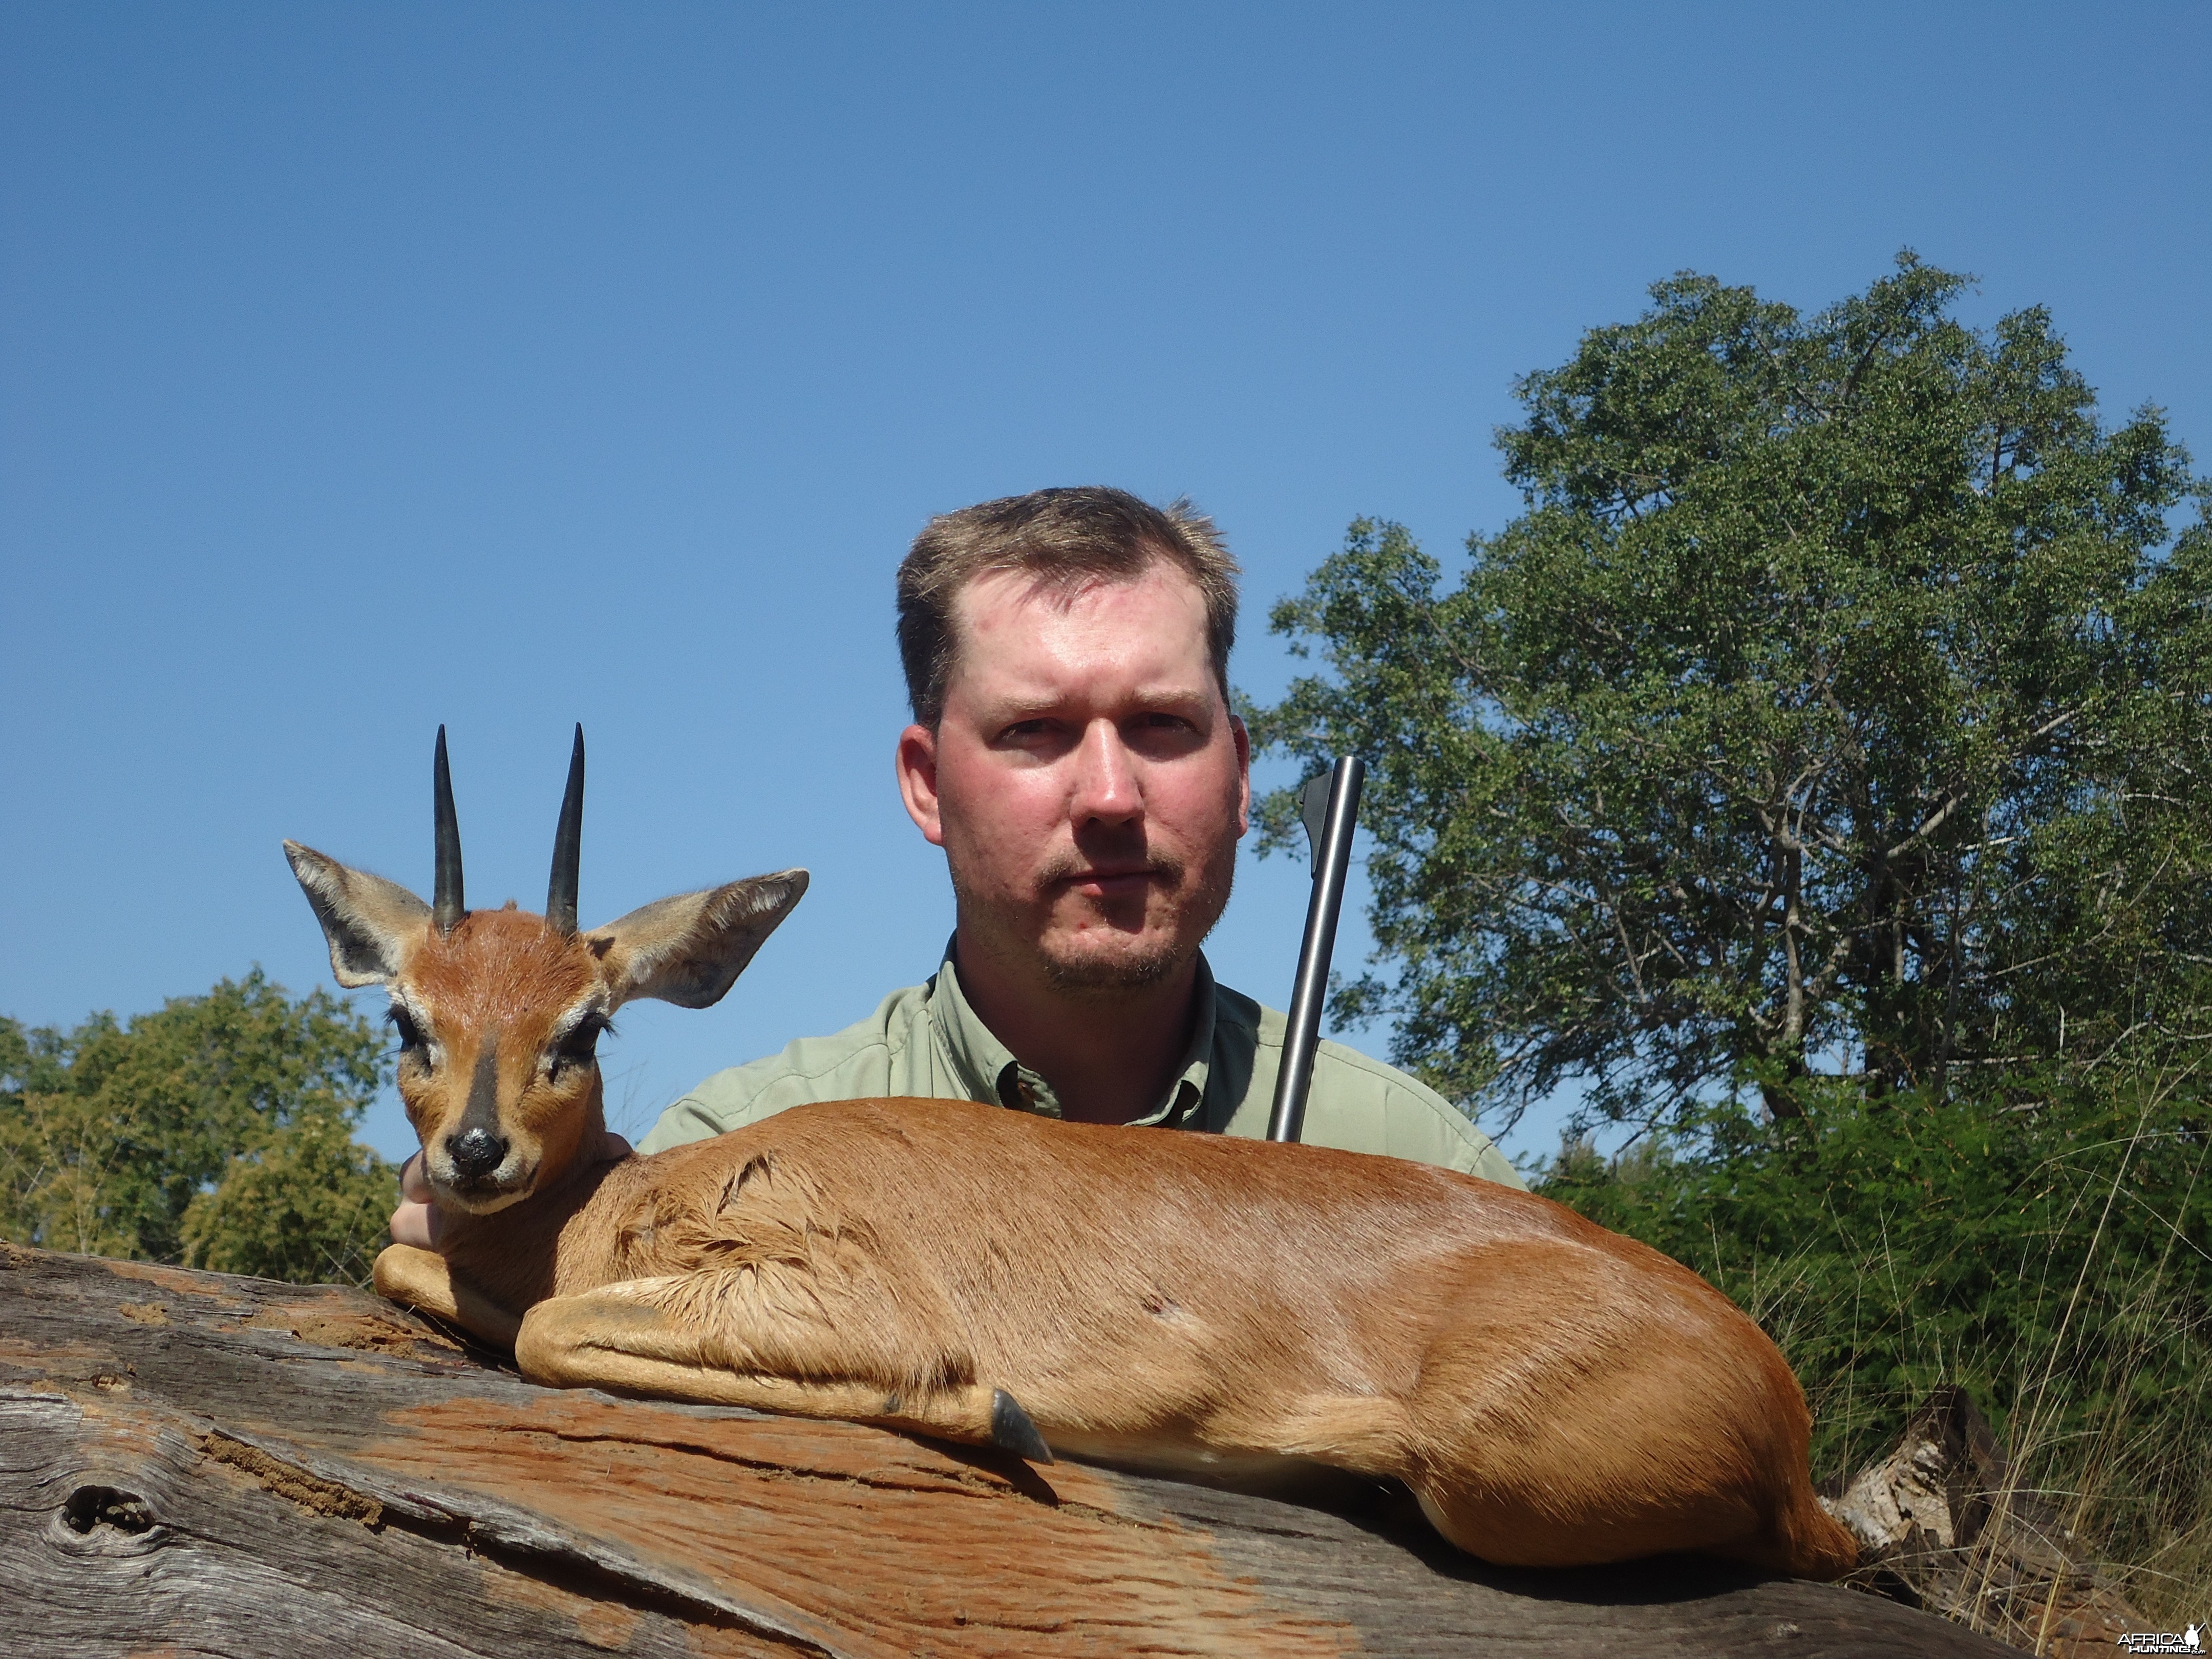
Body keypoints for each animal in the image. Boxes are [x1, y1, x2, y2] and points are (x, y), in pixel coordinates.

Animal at [285, 730, 1858, 1584]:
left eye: (586, 1023)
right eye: (410, 1020)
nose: (476, 1149)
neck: (618, 1198)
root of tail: (1776, 1397)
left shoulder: (846, 1296)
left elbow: (548, 1330)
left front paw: (997, 1410)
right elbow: (425, 1274)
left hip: (1490, 1479)